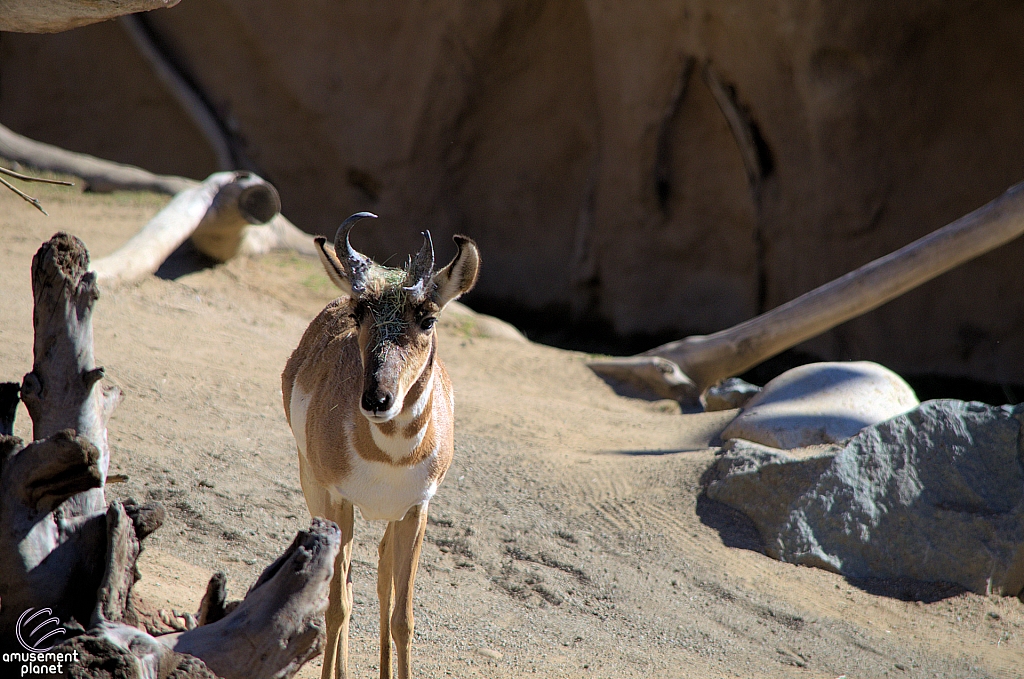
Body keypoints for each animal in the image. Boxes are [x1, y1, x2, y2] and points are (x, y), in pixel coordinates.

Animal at [280, 215, 479, 679]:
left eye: (428, 319)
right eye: (360, 314)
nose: (376, 399)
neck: (391, 455)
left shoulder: (416, 510)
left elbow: (403, 617)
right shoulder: (340, 500)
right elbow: (337, 606)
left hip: (389, 517)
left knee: (383, 573)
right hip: (316, 490)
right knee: (347, 591)